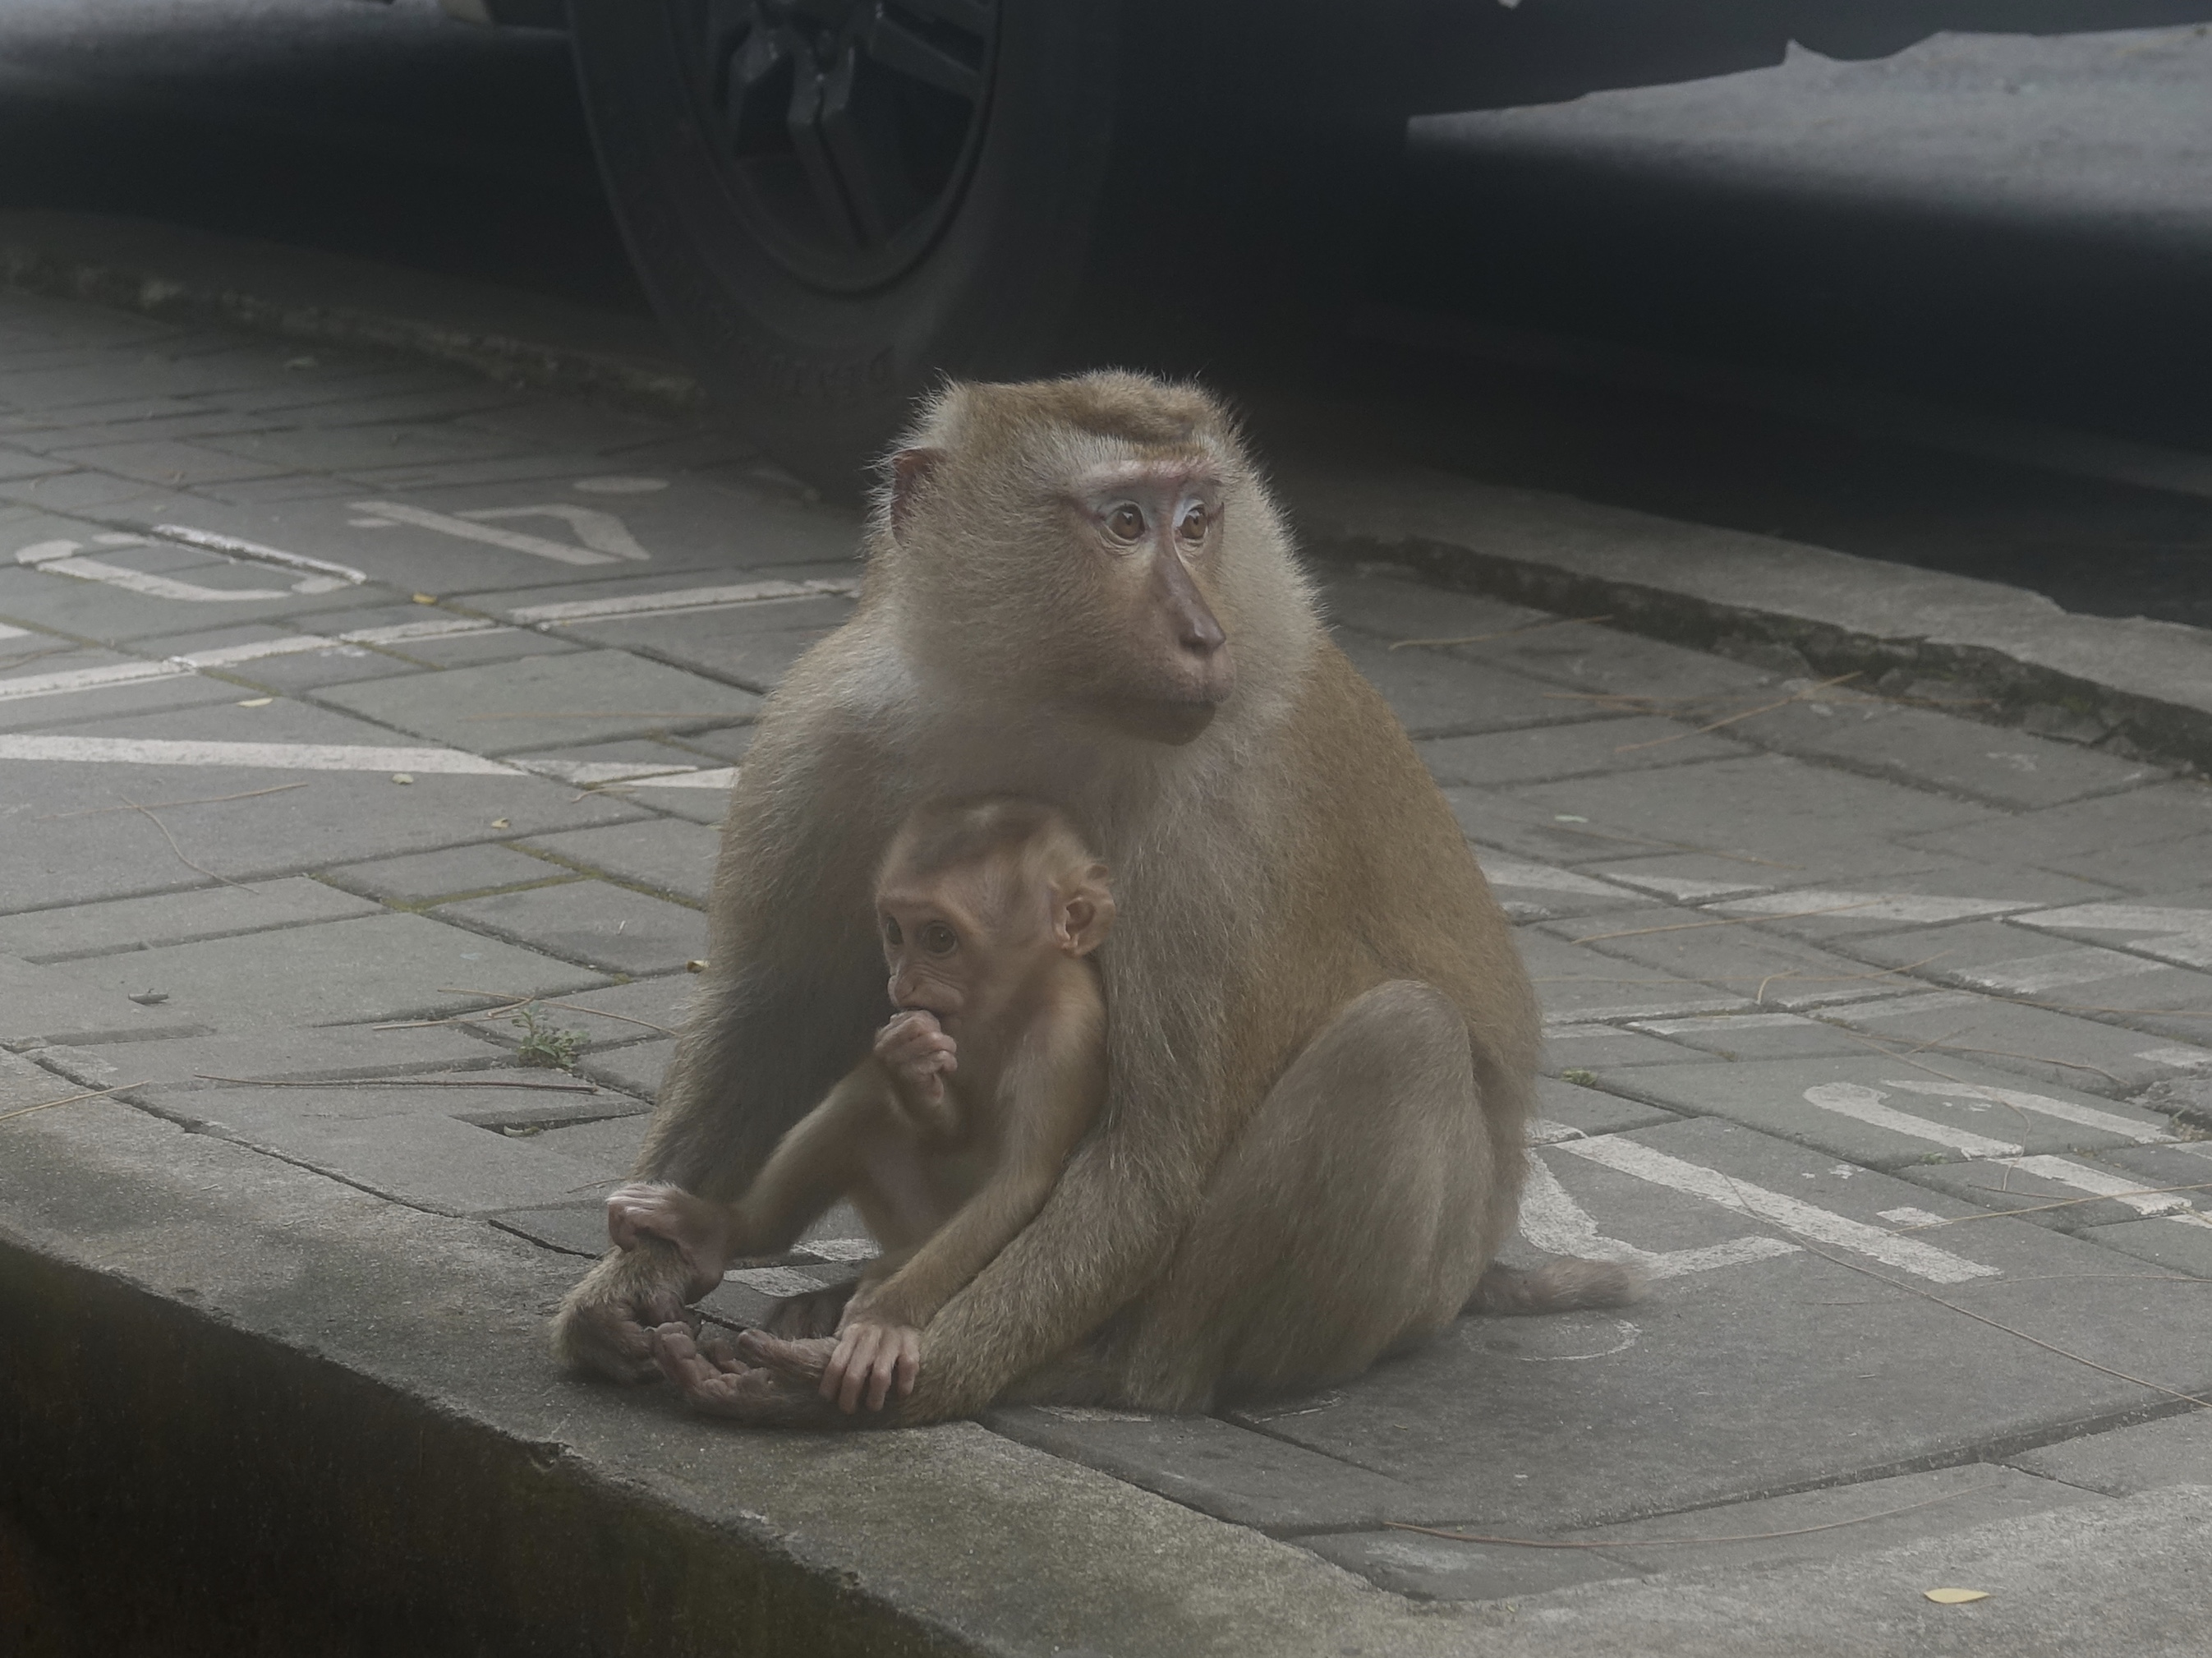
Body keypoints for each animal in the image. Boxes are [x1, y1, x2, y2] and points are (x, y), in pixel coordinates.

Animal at [604, 797, 1114, 1415]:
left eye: (939, 938)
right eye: (895, 932)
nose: (902, 981)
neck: (1014, 1000)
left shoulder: (1065, 1039)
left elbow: (1019, 1182)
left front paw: (885, 1321)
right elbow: (942, 1121)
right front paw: (909, 1067)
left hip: (917, 1233)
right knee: (863, 1101)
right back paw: (721, 1229)